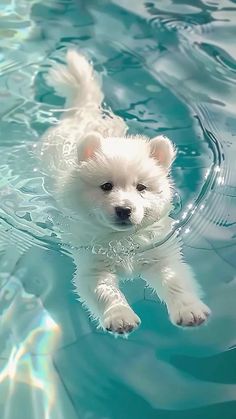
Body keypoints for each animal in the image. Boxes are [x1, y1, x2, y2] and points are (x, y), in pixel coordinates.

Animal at [41, 50, 211, 334]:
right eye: (106, 186)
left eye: (141, 187)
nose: (124, 209)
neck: (122, 241)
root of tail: (82, 112)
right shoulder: (92, 264)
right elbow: (103, 290)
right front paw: (120, 317)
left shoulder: (159, 251)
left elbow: (175, 280)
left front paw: (189, 310)